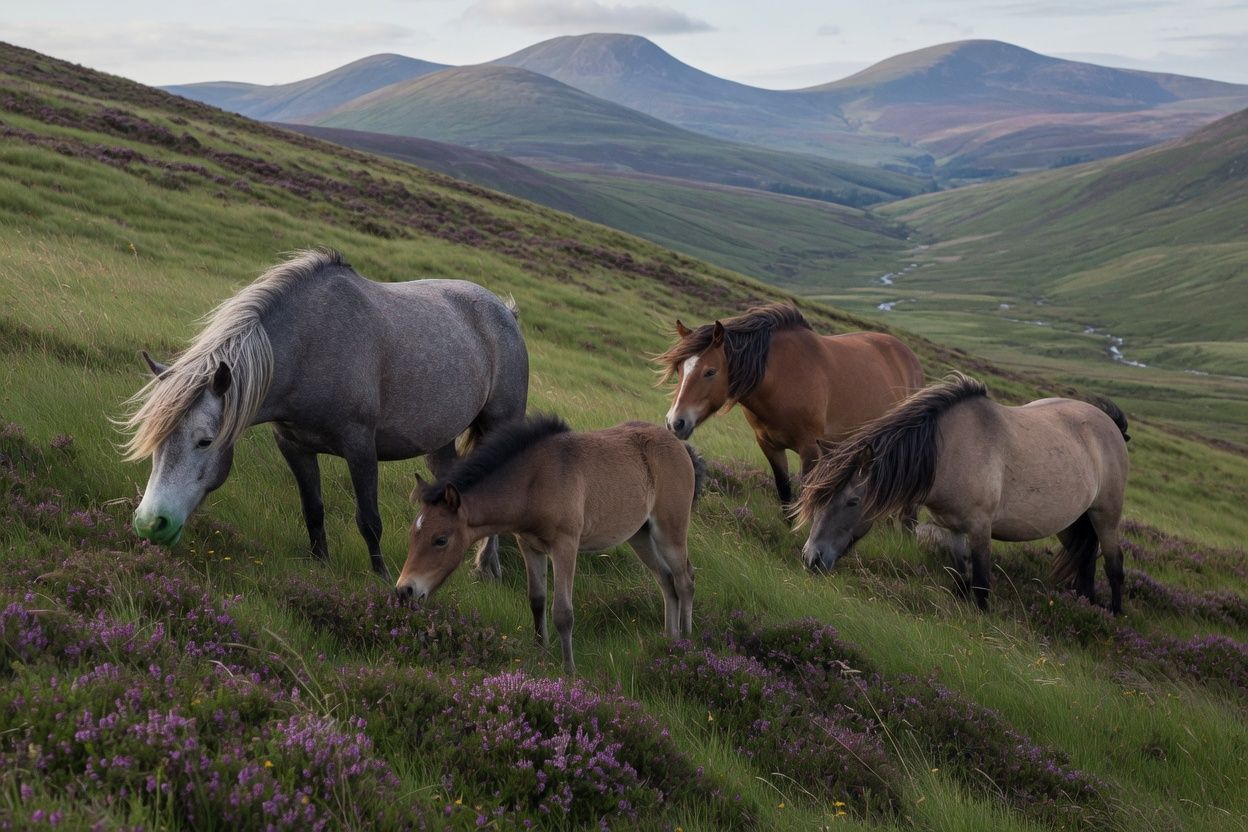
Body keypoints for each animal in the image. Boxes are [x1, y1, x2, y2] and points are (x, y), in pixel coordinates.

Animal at [122, 249, 529, 580]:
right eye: (156, 441)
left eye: (205, 441)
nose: (150, 524)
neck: (310, 345)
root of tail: (506, 312)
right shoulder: (294, 445)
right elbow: (313, 509)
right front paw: (321, 564)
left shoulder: (360, 447)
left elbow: (369, 520)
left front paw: (382, 577)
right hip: (438, 441)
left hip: (498, 424)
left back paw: (485, 567)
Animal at [395, 415, 703, 673]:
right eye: (413, 534)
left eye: (441, 539)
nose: (404, 590)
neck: (535, 481)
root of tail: (681, 448)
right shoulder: (529, 545)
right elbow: (537, 600)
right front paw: (540, 652)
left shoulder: (565, 546)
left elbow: (563, 612)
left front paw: (569, 670)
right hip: (640, 535)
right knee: (666, 580)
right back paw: (670, 639)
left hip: (670, 531)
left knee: (685, 580)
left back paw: (686, 641)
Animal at [657, 302, 924, 507]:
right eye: (679, 369)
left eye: (710, 372)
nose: (675, 422)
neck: (782, 380)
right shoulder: (769, 444)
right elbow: (784, 490)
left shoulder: (810, 449)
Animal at [796, 374, 1131, 613]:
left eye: (852, 501)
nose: (812, 558)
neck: (950, 452)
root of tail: (1109, 422)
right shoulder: (952, 528)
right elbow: (959, 574)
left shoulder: (981, 528)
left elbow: (981, 582)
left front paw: (981, 617)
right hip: (1070, 522)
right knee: (1085, 562)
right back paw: (1086, 607)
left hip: (1105, 516)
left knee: (1114, 564)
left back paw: (1113, 616)